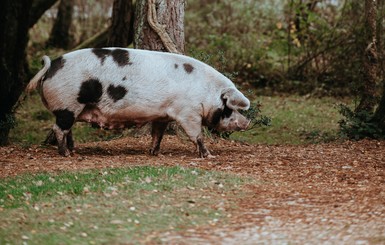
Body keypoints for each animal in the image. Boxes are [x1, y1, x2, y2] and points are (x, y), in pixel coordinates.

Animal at [26, 48, 249, 157]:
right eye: (230, 107)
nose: (247, 122)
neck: (206, 92)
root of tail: (51, 66)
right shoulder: (188, 112)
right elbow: (197, 135)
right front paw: (209, 156)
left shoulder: (163, 114)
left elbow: (158, 134)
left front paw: (154, 153)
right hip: (68, 104)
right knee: (58, 128)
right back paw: (65, 154)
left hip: (72, 107)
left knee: (67, 129)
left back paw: (73, 151)